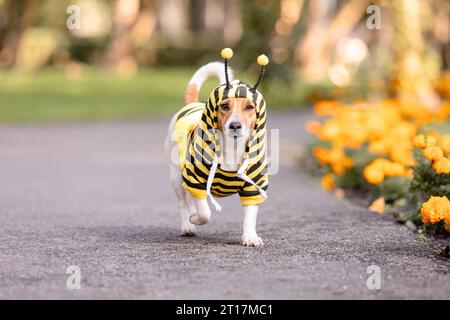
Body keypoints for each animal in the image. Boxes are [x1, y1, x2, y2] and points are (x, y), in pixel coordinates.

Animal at [166, 48, 268, 246]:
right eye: (225, 106)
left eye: (249, 107)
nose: (235, 125)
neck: (232, 148)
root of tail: (192, 104)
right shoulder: (196, 180)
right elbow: (205, 212)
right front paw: (195, 218)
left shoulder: (253, 187)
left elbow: (249, 216)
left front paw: (250, 237)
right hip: (176, 177)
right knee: (184, 203)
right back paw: (188, 225)